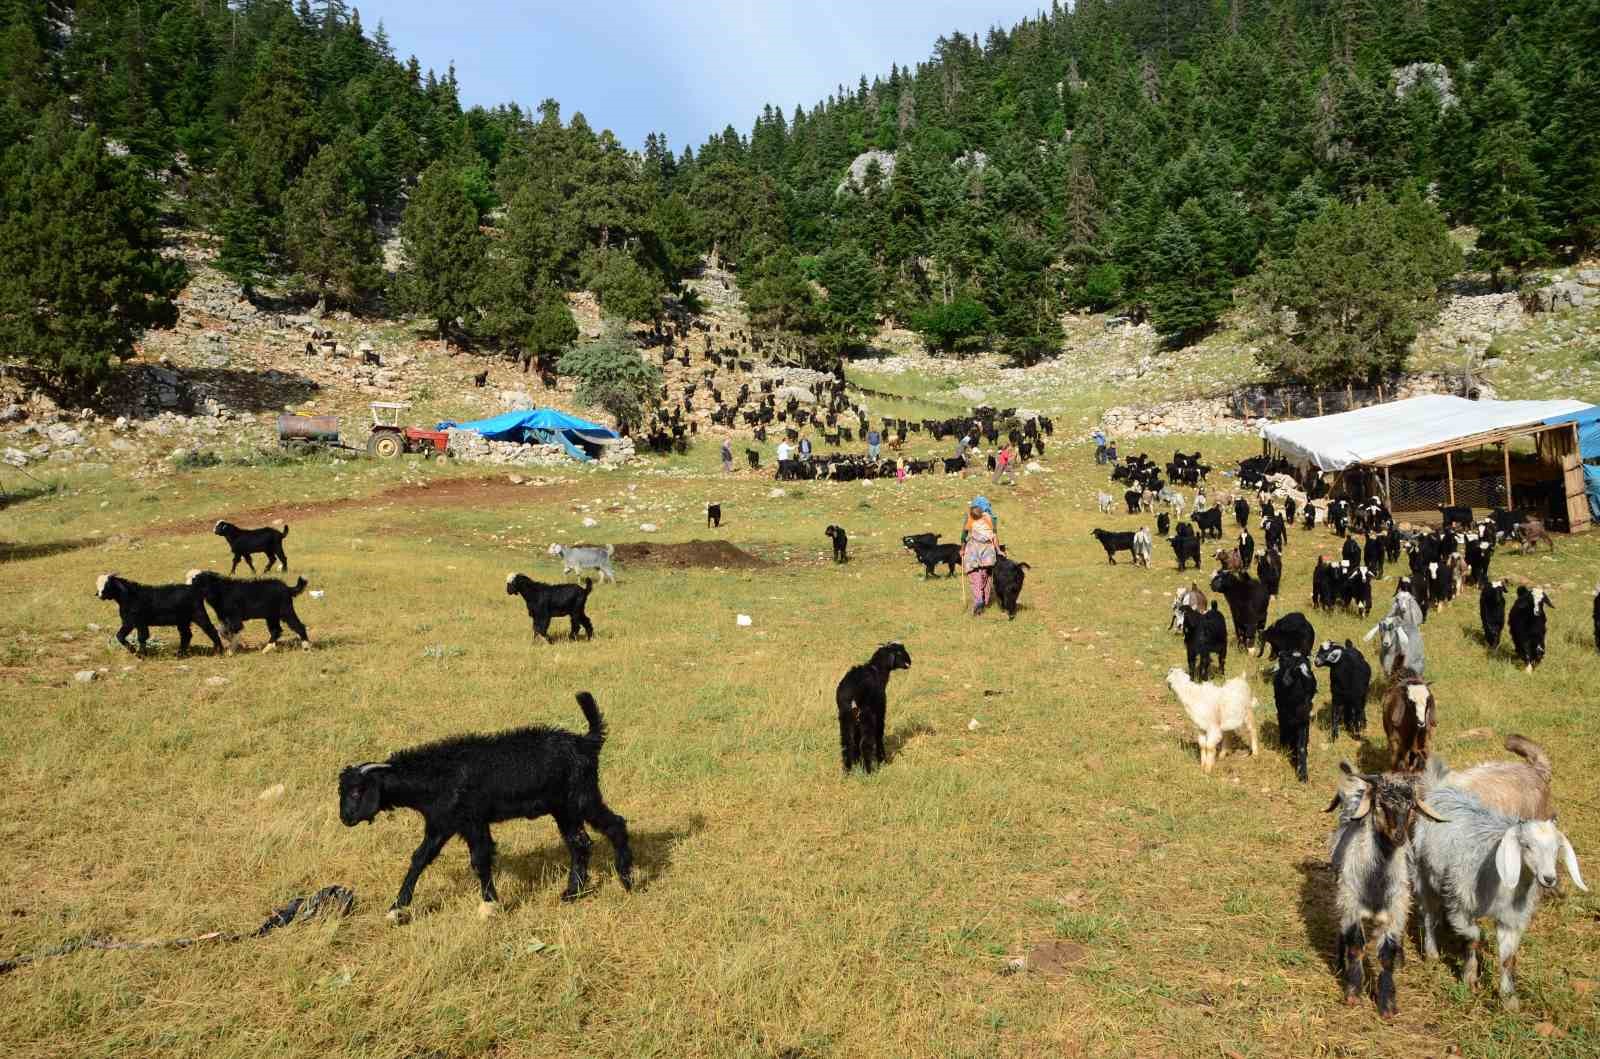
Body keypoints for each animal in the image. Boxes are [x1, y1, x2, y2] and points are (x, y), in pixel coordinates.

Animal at [94, 575, 224, 659]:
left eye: (107, 585)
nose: (99, 595)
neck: (128, 597)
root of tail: (195, 589)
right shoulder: (132, 622)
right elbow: (124, 636)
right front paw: (138, 652)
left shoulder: (136, 621)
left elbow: (138, 637)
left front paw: (139, 654)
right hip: (183, 620)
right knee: (186, 635)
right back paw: (180, 654)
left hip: (198, 613)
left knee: (210, 629)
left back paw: (219, 651)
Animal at [337, 694, 630, 915]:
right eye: (343, 791)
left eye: (357, 792)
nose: (345, 819)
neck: (437, 775)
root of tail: (586, 742)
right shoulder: (441, 824)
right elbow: (420, 858)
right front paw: (397, 907)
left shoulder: (472, 820)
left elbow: (480, 858)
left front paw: (489, 905)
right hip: (564, 808)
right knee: (580, 843)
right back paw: (572, 892)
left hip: (581, 796)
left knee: (614, 825)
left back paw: (626, 880)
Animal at [838, 643, 915, 777]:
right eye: (900, 652)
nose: (909, 661)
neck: (877, 670)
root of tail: (852, 694)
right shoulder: (880, 712)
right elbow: (879, 735)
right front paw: (882, 760)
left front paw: (857, 762)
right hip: (867, 716)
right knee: (866, 743)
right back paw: (868, 771)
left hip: (846, 717)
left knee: (846, 743)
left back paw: (847, 771)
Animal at [1318, 764, 1446, 1023]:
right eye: (1381, 803)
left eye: (1412, 807)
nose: (1399, 837)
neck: (1375, 882)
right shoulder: (1351, 906)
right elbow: (1356, 946)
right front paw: (1353, 991)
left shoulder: (1395, 912)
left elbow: (1387, 955)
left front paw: (1387, 1004)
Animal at [1414, 787, 1587, 1011]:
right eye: (1526, 845)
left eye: (1557, 848)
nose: (1549, 879)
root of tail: (1444, 790)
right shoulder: (1460, 904)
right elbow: (1474, 937)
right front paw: (1470, 977)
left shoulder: (1510, 918)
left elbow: (1507, 959)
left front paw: (1509, 999)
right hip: (1423, 873)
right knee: (1428, 915)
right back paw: (1432, 953)